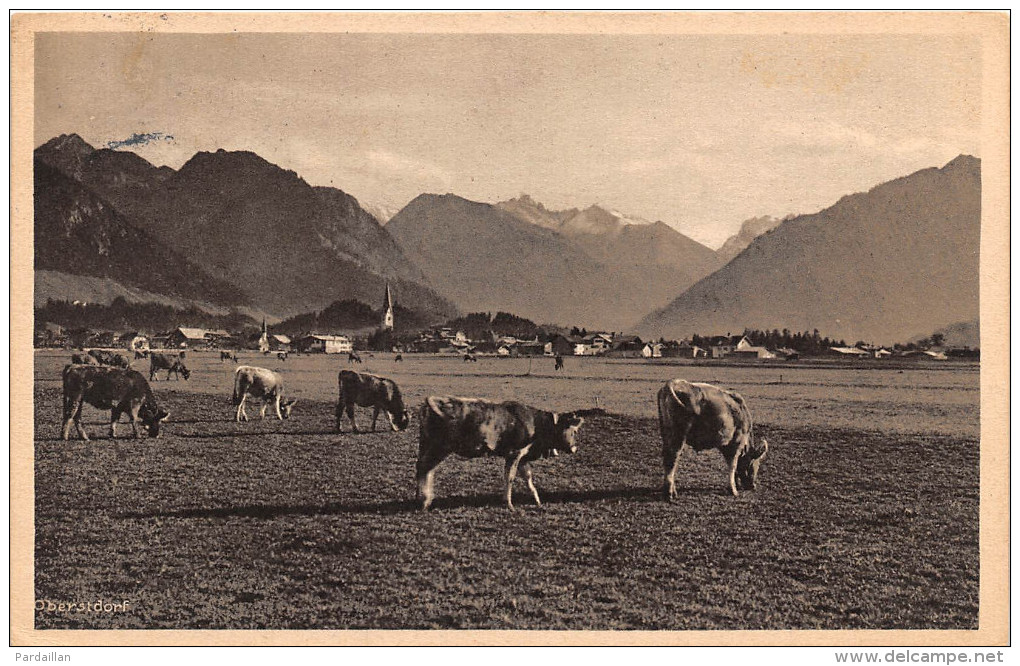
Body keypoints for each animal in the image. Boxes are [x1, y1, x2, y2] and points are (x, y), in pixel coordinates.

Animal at [416, 397, 591, 511]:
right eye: (574, 431)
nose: (575, 448)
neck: (536, 422)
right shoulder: (514, 453)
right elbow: (510, 478)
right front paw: (509, 504)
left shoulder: (522, 457)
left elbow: (528, 478)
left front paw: (537, 500)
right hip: (439, 447)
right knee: (425, 469)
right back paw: (424, 501)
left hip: (428, 445)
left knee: (423, 469)